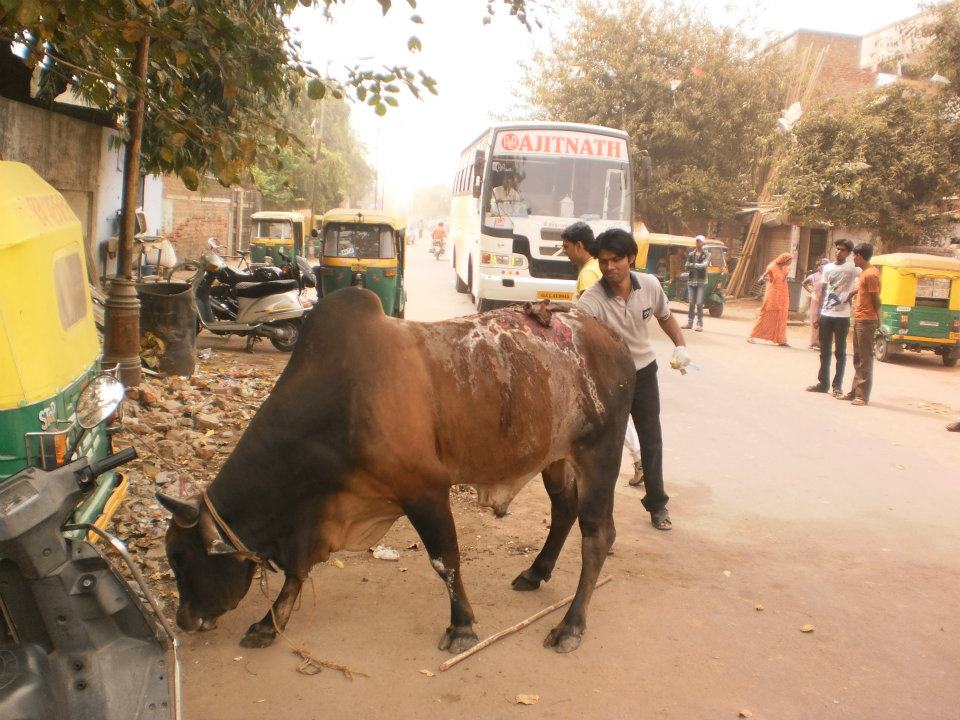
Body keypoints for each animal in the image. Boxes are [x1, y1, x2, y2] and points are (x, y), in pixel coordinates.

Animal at [157, 287, 635, 654]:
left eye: (180, 557)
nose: (183, 620)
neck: (341, 403)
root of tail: (611, 338)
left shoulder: (425, 490)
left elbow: (445, 560)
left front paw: (462, 627)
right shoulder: (321, 513)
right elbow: (299, 571)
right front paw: (267, 625)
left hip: (600, 455)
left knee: (598, 536)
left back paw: (570, 625)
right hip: (555, 458)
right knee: (564, 512)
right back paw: (536, 572)